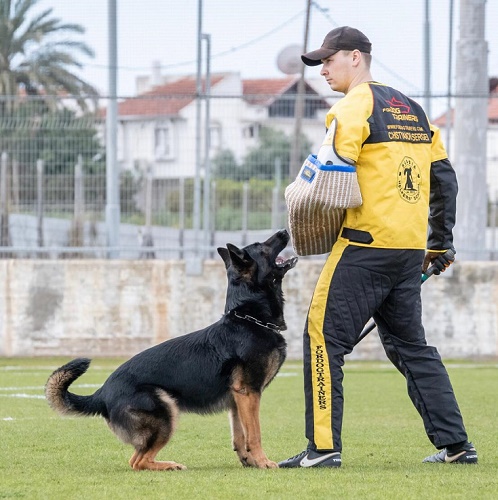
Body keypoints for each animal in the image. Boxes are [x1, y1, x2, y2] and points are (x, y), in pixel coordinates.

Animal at [44, 229, 296, 470]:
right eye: (262, 247)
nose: (284, 231)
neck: (249, 318)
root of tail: (101, 393)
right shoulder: (249, 392)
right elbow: (255, 434)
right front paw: (263, 461)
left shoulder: (238, 397)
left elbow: (239, 435)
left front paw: (249, 460)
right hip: (166, 410)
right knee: (138, 462)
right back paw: (169, 465)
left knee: (135, 458)